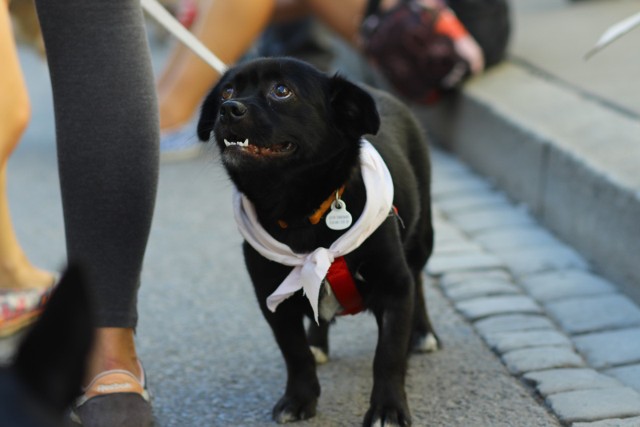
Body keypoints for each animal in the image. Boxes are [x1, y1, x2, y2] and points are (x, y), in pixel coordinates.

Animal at [199, 57, 440, 427]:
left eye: (281, 90)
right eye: (226, 90)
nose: (228, 108)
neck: (300, 212)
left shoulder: (395, 289)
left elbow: (388, 355)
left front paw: (387, 409)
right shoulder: (274, 300)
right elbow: (295, 353)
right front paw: (299, 399)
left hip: (422, 238)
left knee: (419, 278)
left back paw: (423, 332)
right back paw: (318, 343)